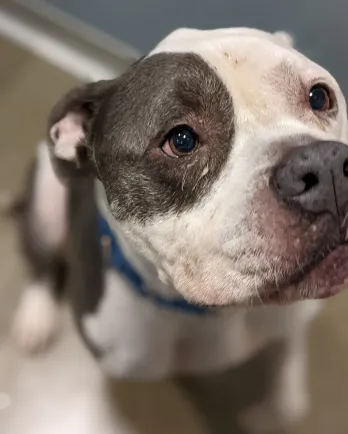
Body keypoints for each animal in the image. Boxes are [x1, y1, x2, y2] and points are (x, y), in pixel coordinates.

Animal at [9, 28, 348, 432]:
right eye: (181, 140)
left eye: (319, 96)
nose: (328, 167)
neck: (215, 316)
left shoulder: (294, 321)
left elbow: (289, 400)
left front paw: (267, 413)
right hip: (46, 197)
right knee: (41, 260)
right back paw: (36, 316)